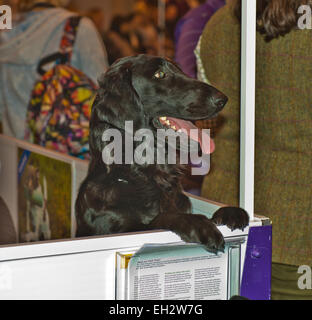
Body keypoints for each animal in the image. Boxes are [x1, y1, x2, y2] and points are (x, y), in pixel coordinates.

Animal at [75, 55, 249, 252]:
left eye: (180, 70)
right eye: (159, 74)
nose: (223, 99)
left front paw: (229, 212)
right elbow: (159, 219)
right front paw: (199, 223)